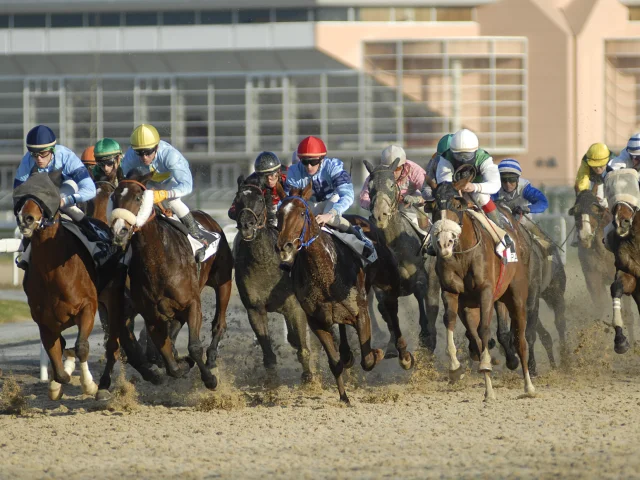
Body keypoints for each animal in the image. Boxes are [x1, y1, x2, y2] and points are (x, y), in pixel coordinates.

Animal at [109, 171, 234, 388]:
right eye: (114, 197)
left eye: (138, 197)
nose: (119, 232)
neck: (158, 262)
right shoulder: (151, 316)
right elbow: (168, 360)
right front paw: (182, 364)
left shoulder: (192, 303)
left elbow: (194, 347)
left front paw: (209, 379)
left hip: (223, 282)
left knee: (220, 323)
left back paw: (211, 361)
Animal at [235, 176, 316, 382]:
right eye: (238, 199)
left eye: (260, 199)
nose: (246, 226)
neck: (265, 262)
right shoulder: (254, 309)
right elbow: (269, 355)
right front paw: (271, 383)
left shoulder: (295, 306)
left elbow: (303, 348)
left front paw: (309, 378)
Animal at [276, 182, 384, 404]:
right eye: (278, 213)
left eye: (302, 213)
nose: (285, 246)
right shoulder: (316, 320)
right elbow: (334, 362)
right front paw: (344, 398)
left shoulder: (361, 312)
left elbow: (368, 358)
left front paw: (378, 353)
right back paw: (346, 354)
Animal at [362, 158, 442, 352]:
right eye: (370, 186)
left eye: (391, 185)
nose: (380, 215)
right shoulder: (382, 286)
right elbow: (385, 308)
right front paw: (392, 344)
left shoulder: (420, 277)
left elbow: (420, 296)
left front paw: (425, 336)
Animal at [430, 182, 536, 400]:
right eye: (434, 206)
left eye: (456, 204)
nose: (444, 243)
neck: (463, 256)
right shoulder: (451, 292)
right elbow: (451, 321)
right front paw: (455, 367)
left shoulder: (486, 291)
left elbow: (484, 329)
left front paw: (487, 363)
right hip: (478, 304)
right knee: (476, 333)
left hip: (517, 295)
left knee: (520, 339)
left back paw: (528, 386)